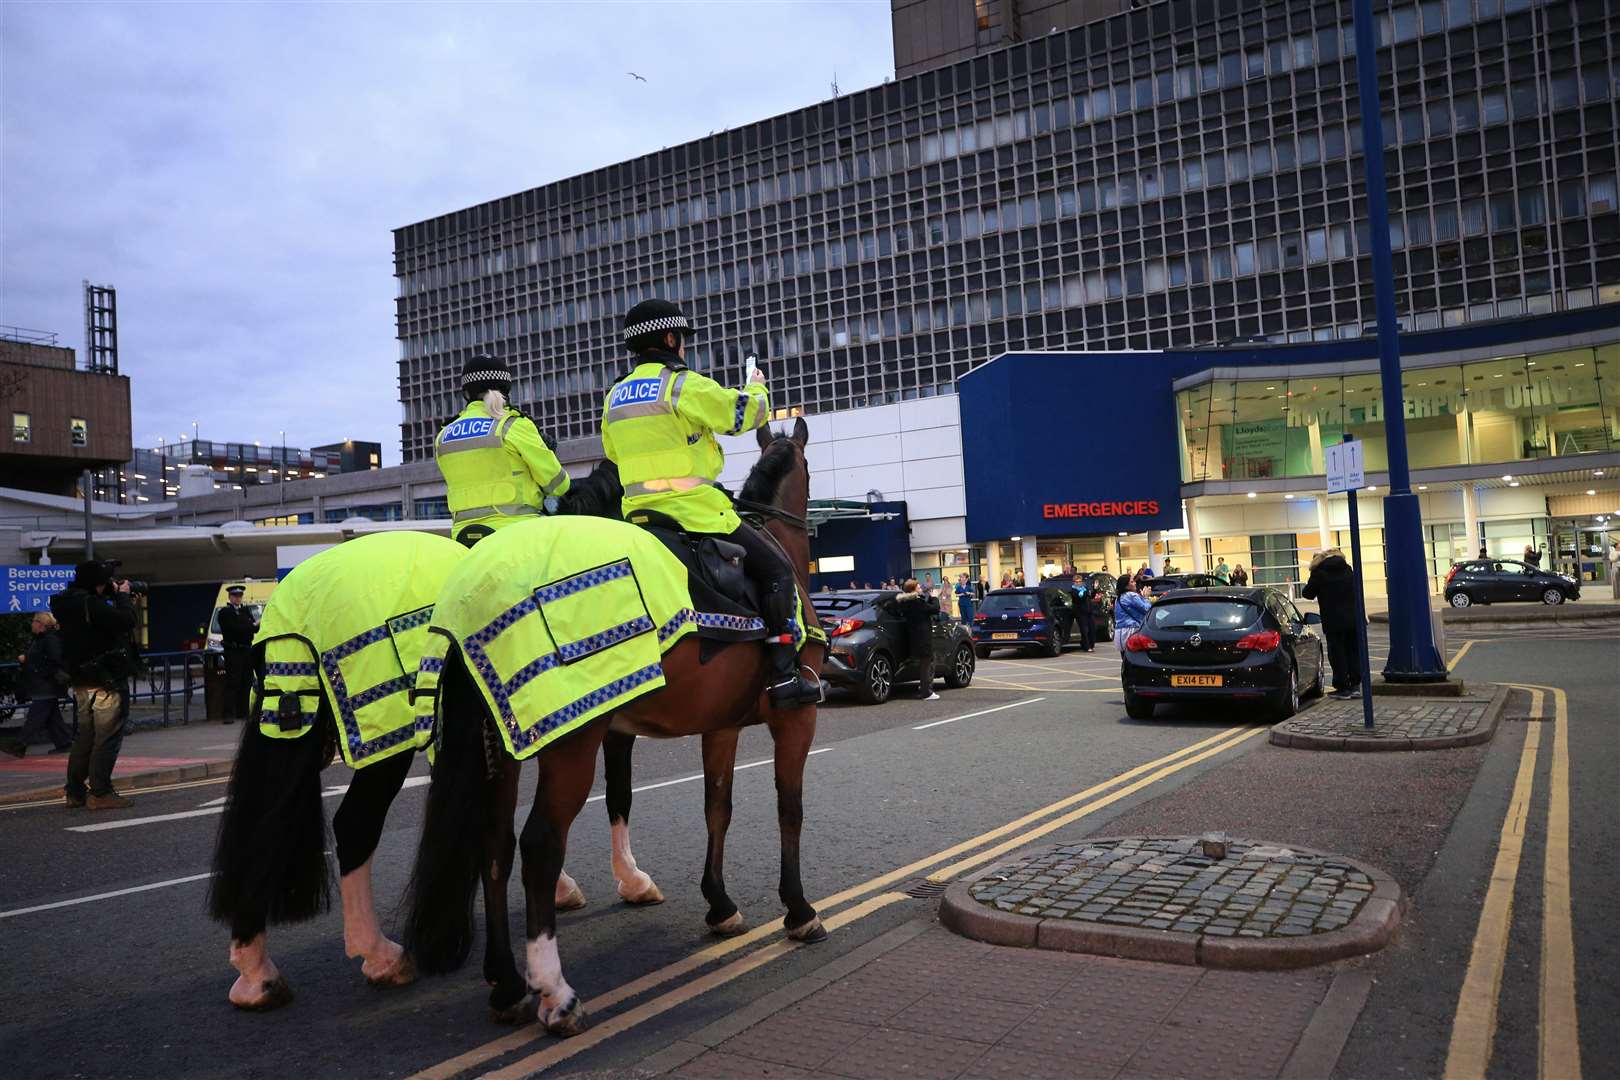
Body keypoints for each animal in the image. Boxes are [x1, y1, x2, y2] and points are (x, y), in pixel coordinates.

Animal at [405, 417, 829, 1036]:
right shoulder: (796, 717)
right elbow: (789, 809)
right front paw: (798, 910)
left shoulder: (720, 726)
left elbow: (717, 808)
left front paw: (720, 905)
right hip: (570, 743)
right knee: (539, 846)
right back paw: (556, 994)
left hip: (501, 746)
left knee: (494, 846)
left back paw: (507, 984)